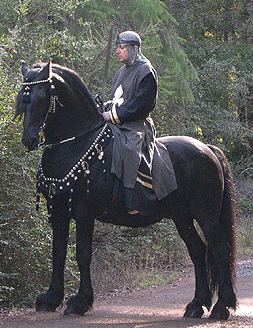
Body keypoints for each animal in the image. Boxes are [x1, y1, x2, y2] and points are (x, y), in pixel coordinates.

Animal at [15, 61, 237, 320]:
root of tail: (209, 149)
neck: (74, 143)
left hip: (206, 215)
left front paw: (80, 302)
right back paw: (196, 305)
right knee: (198, 250)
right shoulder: (58, 211)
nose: (29, 139)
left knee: (220, 250)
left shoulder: (83, 212)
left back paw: (221, 307)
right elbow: (58, 253)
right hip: (182, 217)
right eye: (23, 98)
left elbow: (82, 254)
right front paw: (51, 298)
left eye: (42, 97)